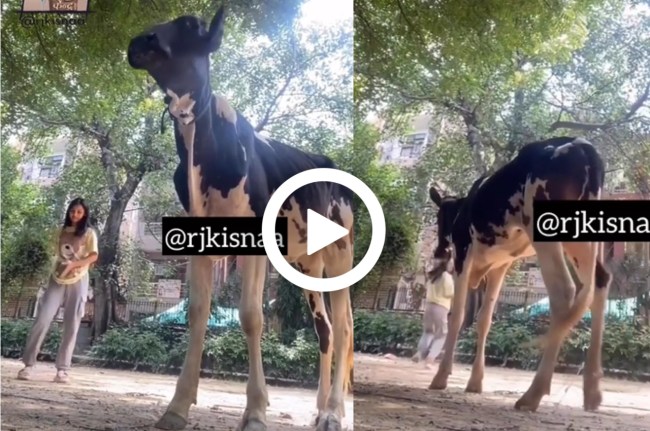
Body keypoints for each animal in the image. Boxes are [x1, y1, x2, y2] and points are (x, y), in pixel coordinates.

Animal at [127, 6, 354, 431]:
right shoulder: (199, 240)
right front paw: (177, 407)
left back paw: (334, 412)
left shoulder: (257, 242)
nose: (138, 41)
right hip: (306, 261)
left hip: (340, 250)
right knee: (325, 330)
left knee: (345, 328)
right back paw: (319, 410)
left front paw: (256, 411)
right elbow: (197, 311)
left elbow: (251, 317)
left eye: (190, 25)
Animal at [427, 136, 612, 412]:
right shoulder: (500, 266)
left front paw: (441, 377)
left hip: (545, 232)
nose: (440, 250)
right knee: (600, 281)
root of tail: (582, 146)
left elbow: (457, 316)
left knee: (564, 291)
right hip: (584, 236)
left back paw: (533, 394)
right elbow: (484, 320)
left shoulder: (463, 256)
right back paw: (592, 391)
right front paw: (475, 382)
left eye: (440, 217)